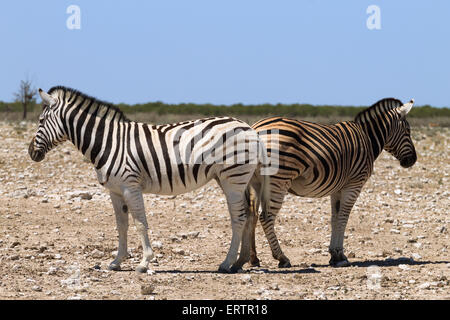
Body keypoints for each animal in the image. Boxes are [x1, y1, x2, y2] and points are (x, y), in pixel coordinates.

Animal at [28, 86, 270, 274]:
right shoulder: (115, 191)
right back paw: (239, 262)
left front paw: (144, 262)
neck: (108, 142)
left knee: (238, 217)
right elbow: (122, 225)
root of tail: (248, 127)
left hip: (233, 179)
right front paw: (117, 261)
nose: (31, 153)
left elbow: (139, 223)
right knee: (248, 214)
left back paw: (227, 263)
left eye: (40, 120)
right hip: (234, 178)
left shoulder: (130, 186)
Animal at [236, 97, 418, 268]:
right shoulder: (354, 184)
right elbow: (344, 217)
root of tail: (256, 128)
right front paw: (340, 255)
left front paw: (334, 254)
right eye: (408, 131)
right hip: (278, 180)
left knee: (251, 215)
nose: (413, 160)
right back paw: (282, 258)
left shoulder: (338, 188)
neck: (368, 139)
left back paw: (253, 259)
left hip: (254, 182)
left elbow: (334, 217)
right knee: (266, 217)